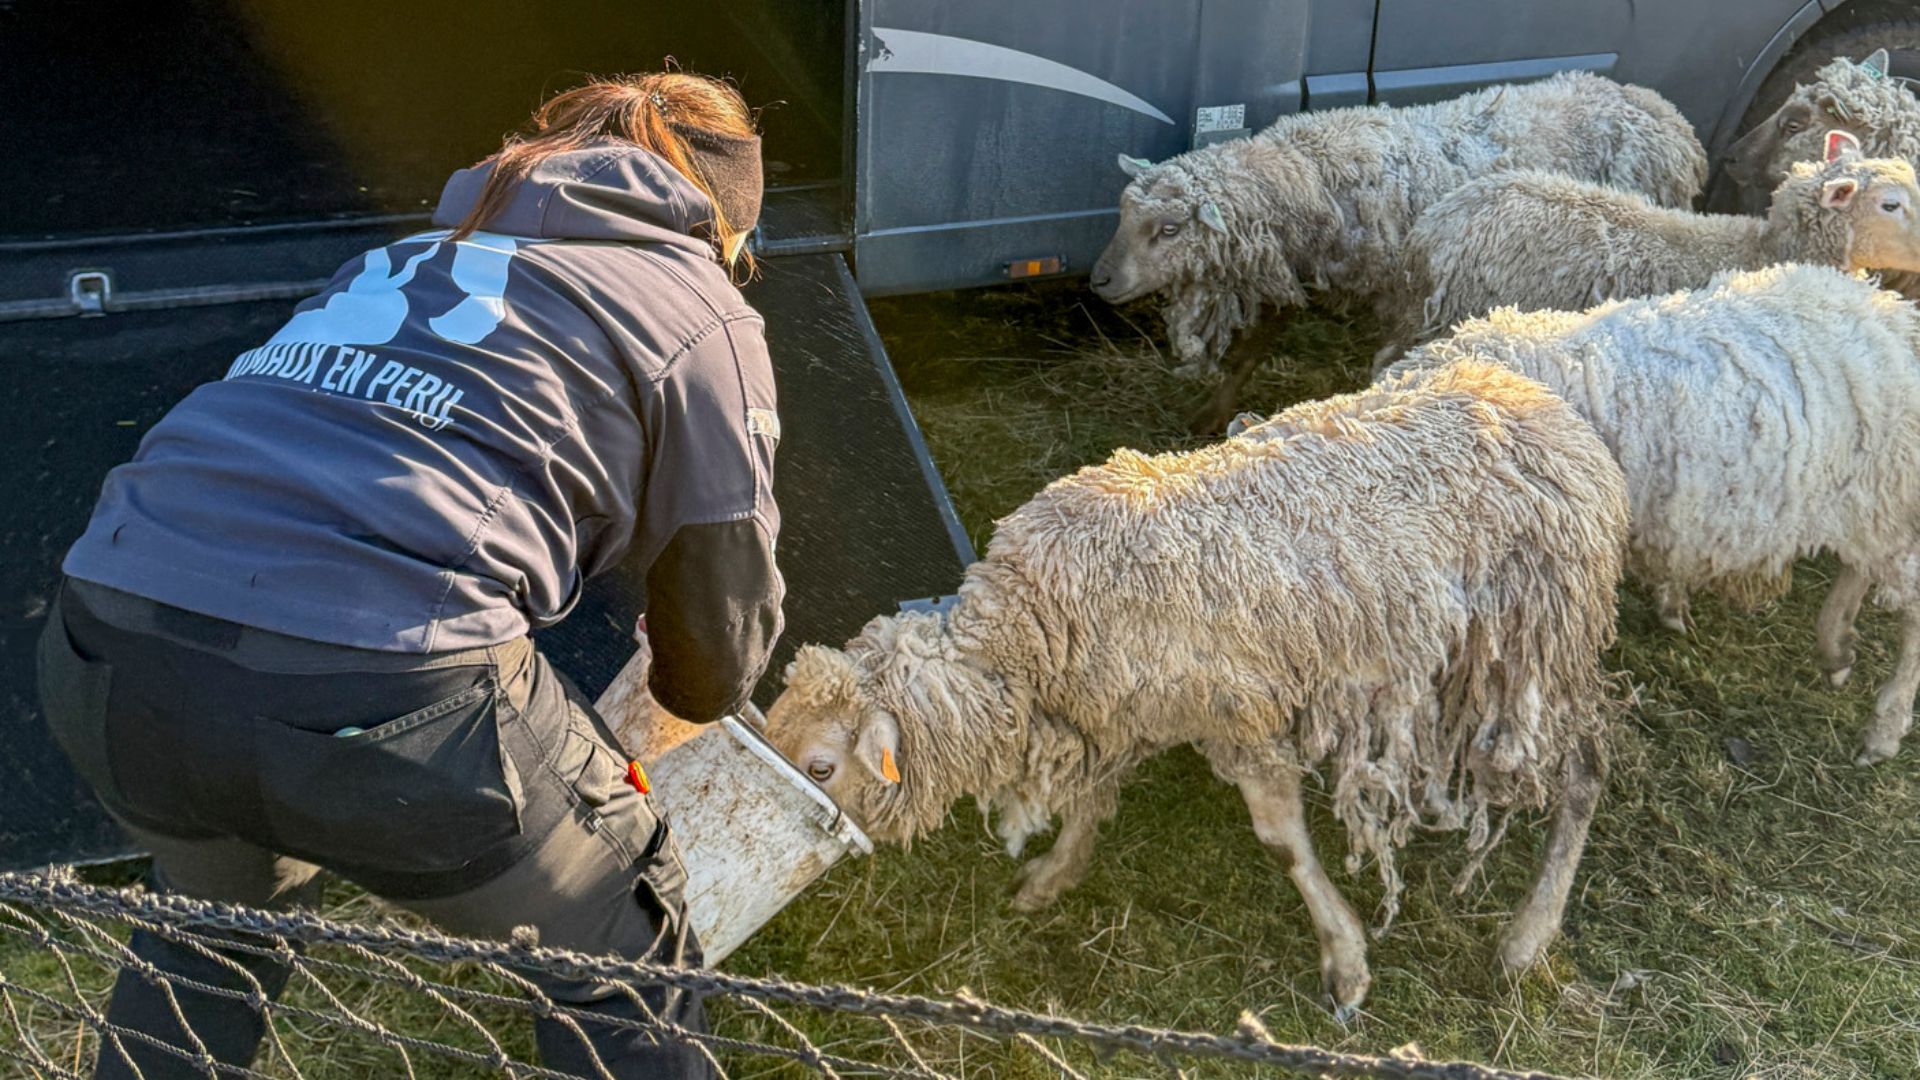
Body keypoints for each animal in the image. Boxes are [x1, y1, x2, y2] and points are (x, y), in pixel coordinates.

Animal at [756, 357, 1628, 1014]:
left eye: (824, 765)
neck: (1030, 628)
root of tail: (1554, 414)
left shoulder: (1240, 715)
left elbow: (1281, 843)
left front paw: (1345, 960)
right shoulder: (1113, 714)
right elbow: (1089, 801)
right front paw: (1052, 877)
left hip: (1535, 647)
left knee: (1586, 768)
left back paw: (1527, 937)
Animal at [1090, 68, 1704, 378]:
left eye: (1170, 229)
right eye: (1123, 213)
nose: (1100, 279)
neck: (1310, 174)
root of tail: (1667, 115)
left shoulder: (1405, 291)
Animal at [1390, 263, 1920, 764]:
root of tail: (1890, 311)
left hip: (1888, 494)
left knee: (1908, 603)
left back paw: (1884, 726)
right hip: (1868, 504)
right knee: (1857, 568)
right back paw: (1836, 648)